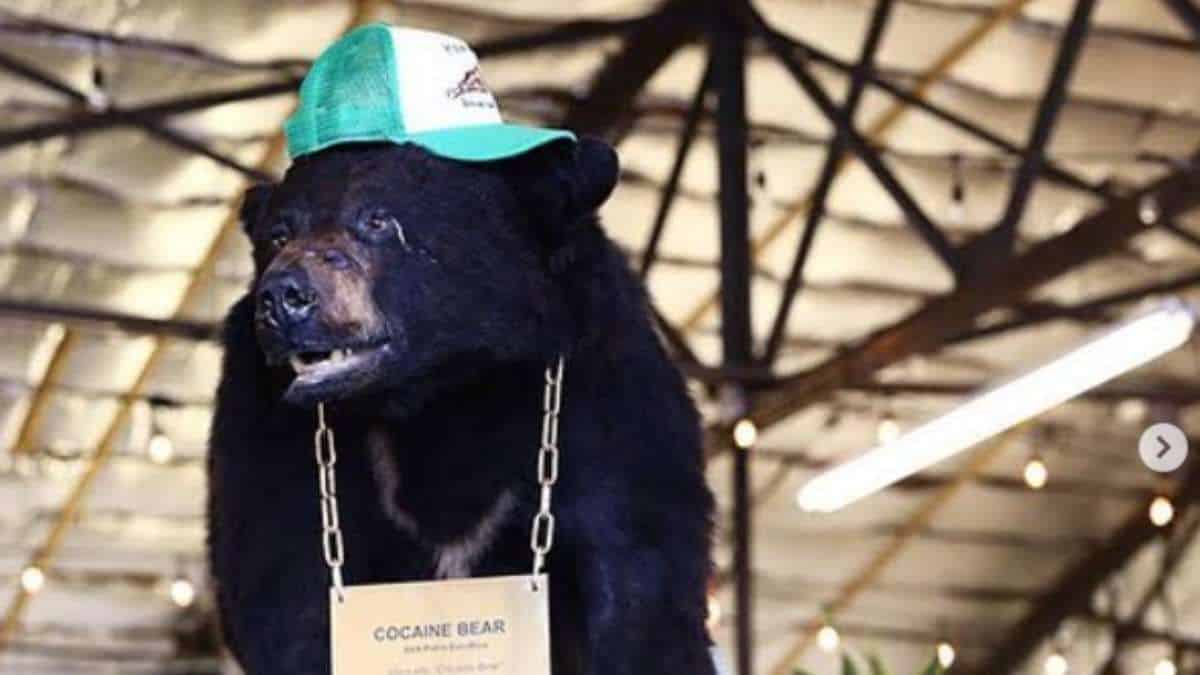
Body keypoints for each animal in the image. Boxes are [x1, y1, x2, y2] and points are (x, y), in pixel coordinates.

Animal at [207, 137, 718, 675]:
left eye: (378, 220)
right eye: (279, 235)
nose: (283, 297)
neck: (444, 394)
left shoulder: (607, 398)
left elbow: (638, 582)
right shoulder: (263, 422)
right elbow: (285, 589)